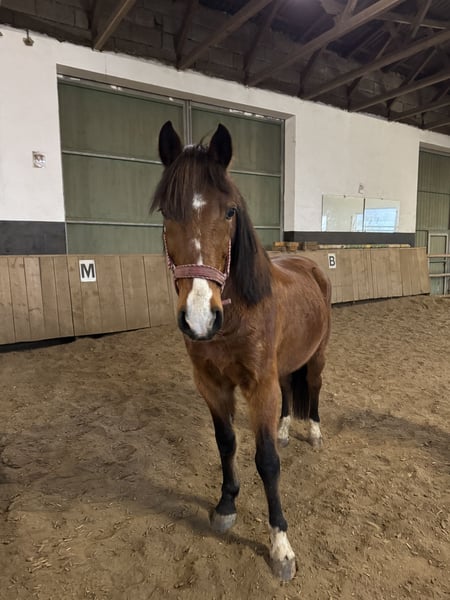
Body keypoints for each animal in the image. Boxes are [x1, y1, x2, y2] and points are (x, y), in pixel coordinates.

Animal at [151, 121, 332, 581]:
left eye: (230, 212)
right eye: (166, 213)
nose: (199, 316)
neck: (237, 313)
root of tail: (310, 266)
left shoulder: (259, 386)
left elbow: (266, 461)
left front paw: (280, 545)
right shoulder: (212, 385)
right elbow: (226, 442)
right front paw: (226, 504)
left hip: (317, 357)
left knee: (313, 389)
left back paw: (313, 432)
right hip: (284, 367)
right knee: (289, 393)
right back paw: (286, 429)